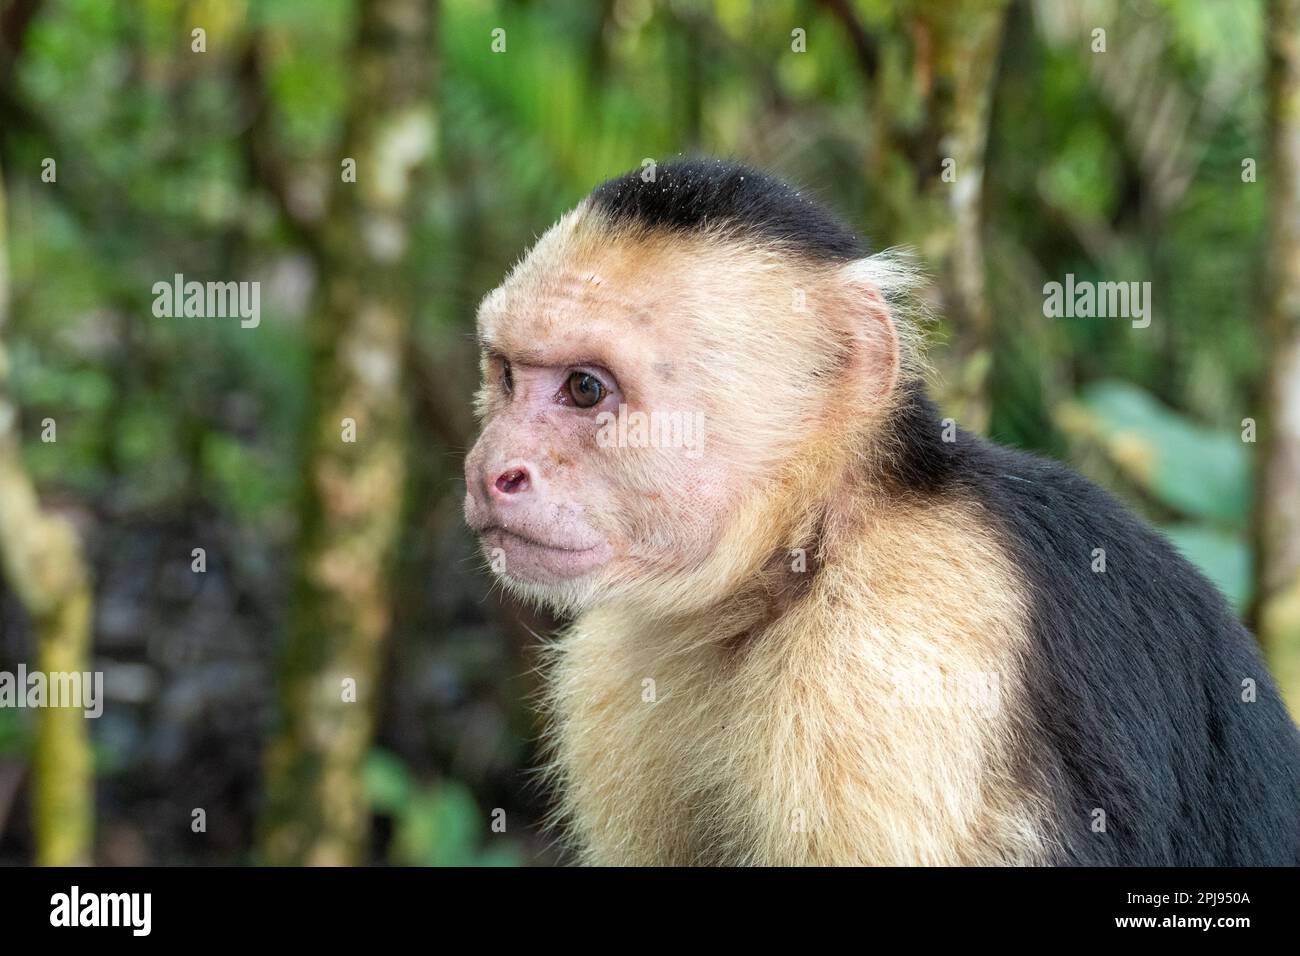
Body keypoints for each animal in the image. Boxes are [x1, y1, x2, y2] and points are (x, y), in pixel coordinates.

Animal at [462, 158, 1300, 866]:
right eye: (505, 375)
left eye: (584, 389)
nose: (488, 470)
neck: (803, 547)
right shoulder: (620, 665)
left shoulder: (892, 657)